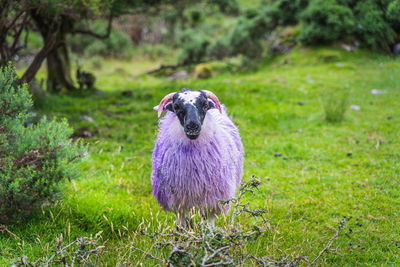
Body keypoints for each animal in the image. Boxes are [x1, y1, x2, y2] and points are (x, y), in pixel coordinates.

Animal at [151, 89, 242, 227]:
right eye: (176, 107)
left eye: (205, 105)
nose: (192, 126)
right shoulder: (178, 201)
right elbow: (181, 225)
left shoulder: (212, 200)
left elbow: (208, 225)